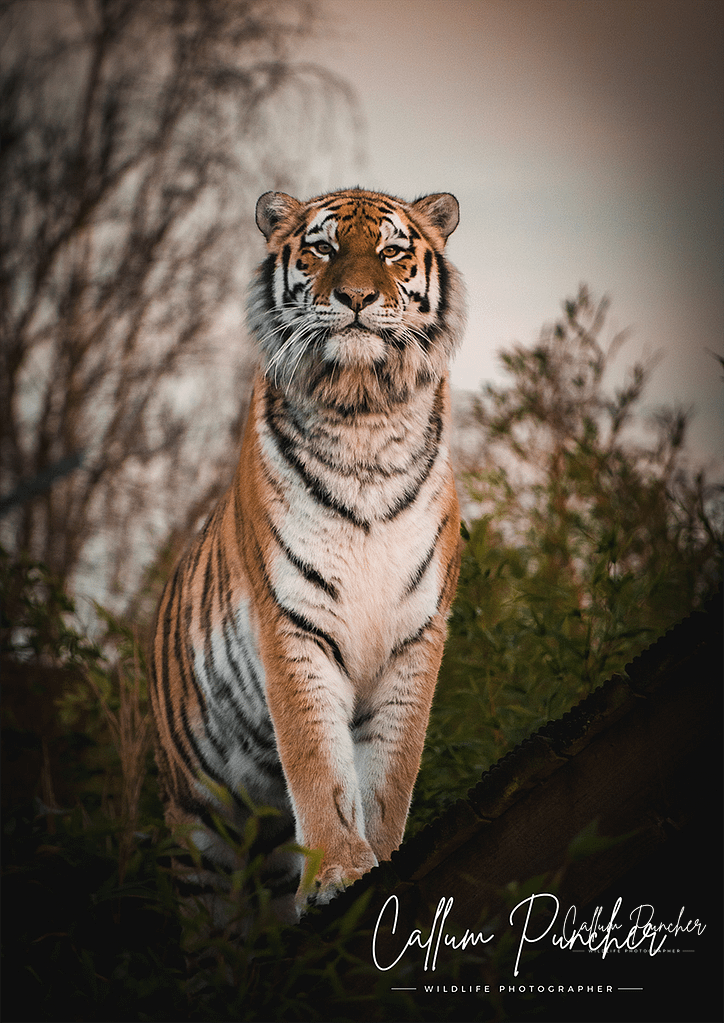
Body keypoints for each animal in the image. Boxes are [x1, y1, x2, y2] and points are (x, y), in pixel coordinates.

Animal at [149, 187, 466, 933]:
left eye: (392, 250)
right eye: (323, 248)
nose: (355, 297)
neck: (364, 420)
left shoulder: (416, 630)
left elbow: (390, 772)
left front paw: (380, 856)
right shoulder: (293, 621)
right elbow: (318, 760)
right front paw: (339, 872)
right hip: (196, 823)